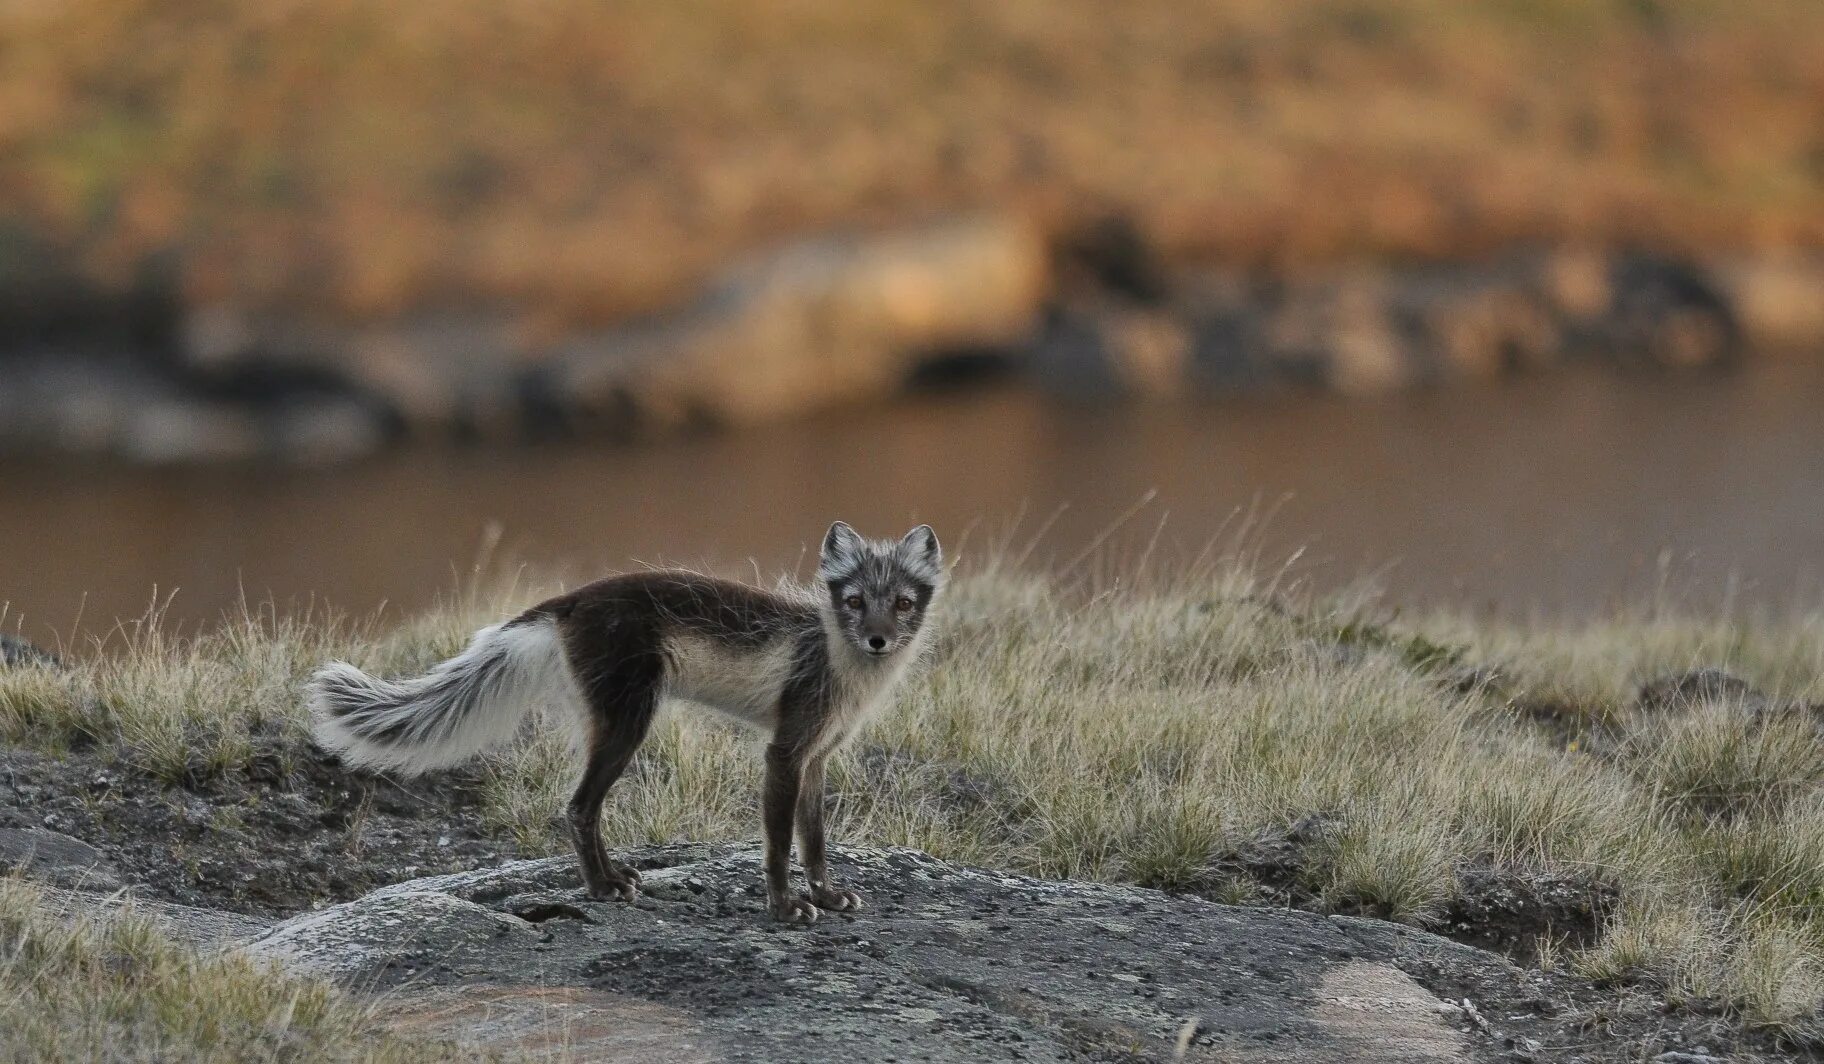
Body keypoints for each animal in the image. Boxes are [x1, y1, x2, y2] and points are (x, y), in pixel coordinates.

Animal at [302, 521, 941, 919]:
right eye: (854, 601)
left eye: (902, 603)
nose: (878, 640)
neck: (836, 660)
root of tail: (567, 600)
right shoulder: (783, 752)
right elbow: (780, 846)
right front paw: (784, 908)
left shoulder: (817, 754)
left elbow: (814, 841)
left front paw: (828, 897)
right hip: (629, 725)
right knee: (578, 806)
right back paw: (602, 887)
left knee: (584, 809)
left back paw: (619, 879)